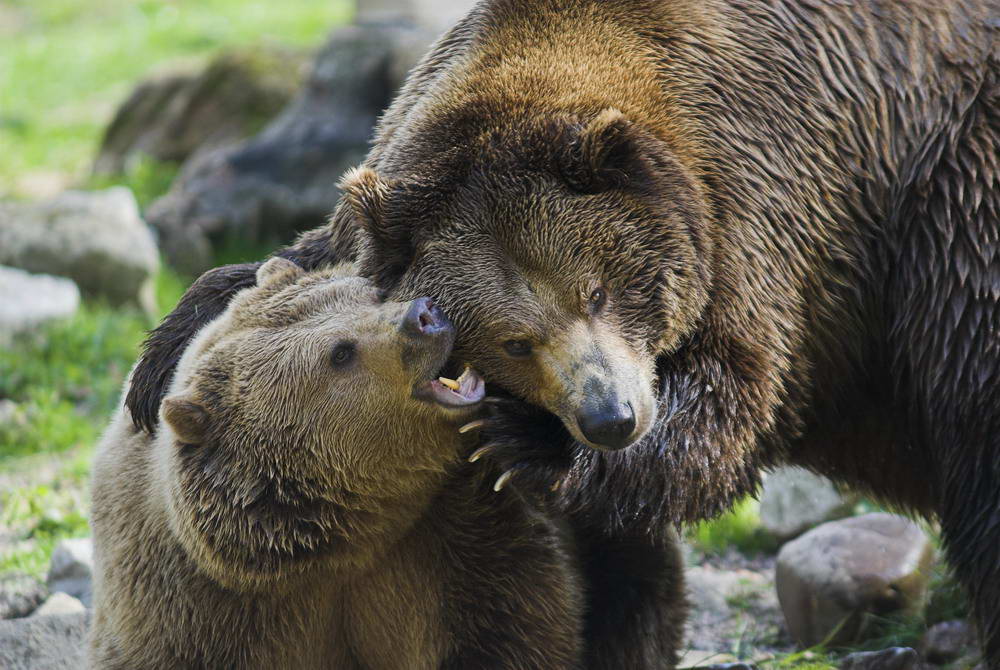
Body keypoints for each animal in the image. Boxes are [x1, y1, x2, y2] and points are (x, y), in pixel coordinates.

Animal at [92, 258, 640, 670]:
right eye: (340, 353)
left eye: (375, 293)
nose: (425, 314)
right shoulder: (195, 608)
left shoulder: (466, 541)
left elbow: (511, 628)